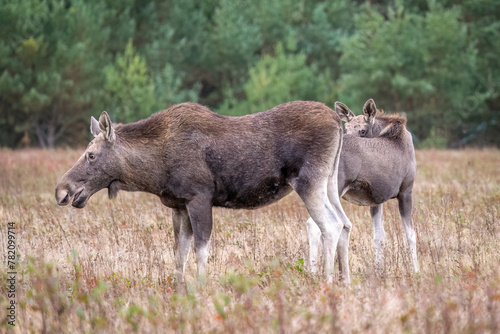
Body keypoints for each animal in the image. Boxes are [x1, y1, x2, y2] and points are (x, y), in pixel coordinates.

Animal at [55, 102, 352, 282]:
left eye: (91, 155)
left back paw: (326, 281)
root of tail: (336, 120)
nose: (62, 191)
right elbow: (179, 253)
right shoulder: (178, 205)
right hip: (329, 183)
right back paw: (345, 281)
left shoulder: (199, 198)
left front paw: (200, 288)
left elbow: (201, 250)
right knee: (345, 223)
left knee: (330, 225)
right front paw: (180, 290)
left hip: (309, 182)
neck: (154, 169)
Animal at [306, 98, 420, 274]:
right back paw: (315, 272)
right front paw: (416, 271)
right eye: (346, 128)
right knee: (315, 224)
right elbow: (411, 235)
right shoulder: (406, 191)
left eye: (362, 131)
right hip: (334, 188)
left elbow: (379, 236)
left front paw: (379, 269)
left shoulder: (376, 200)